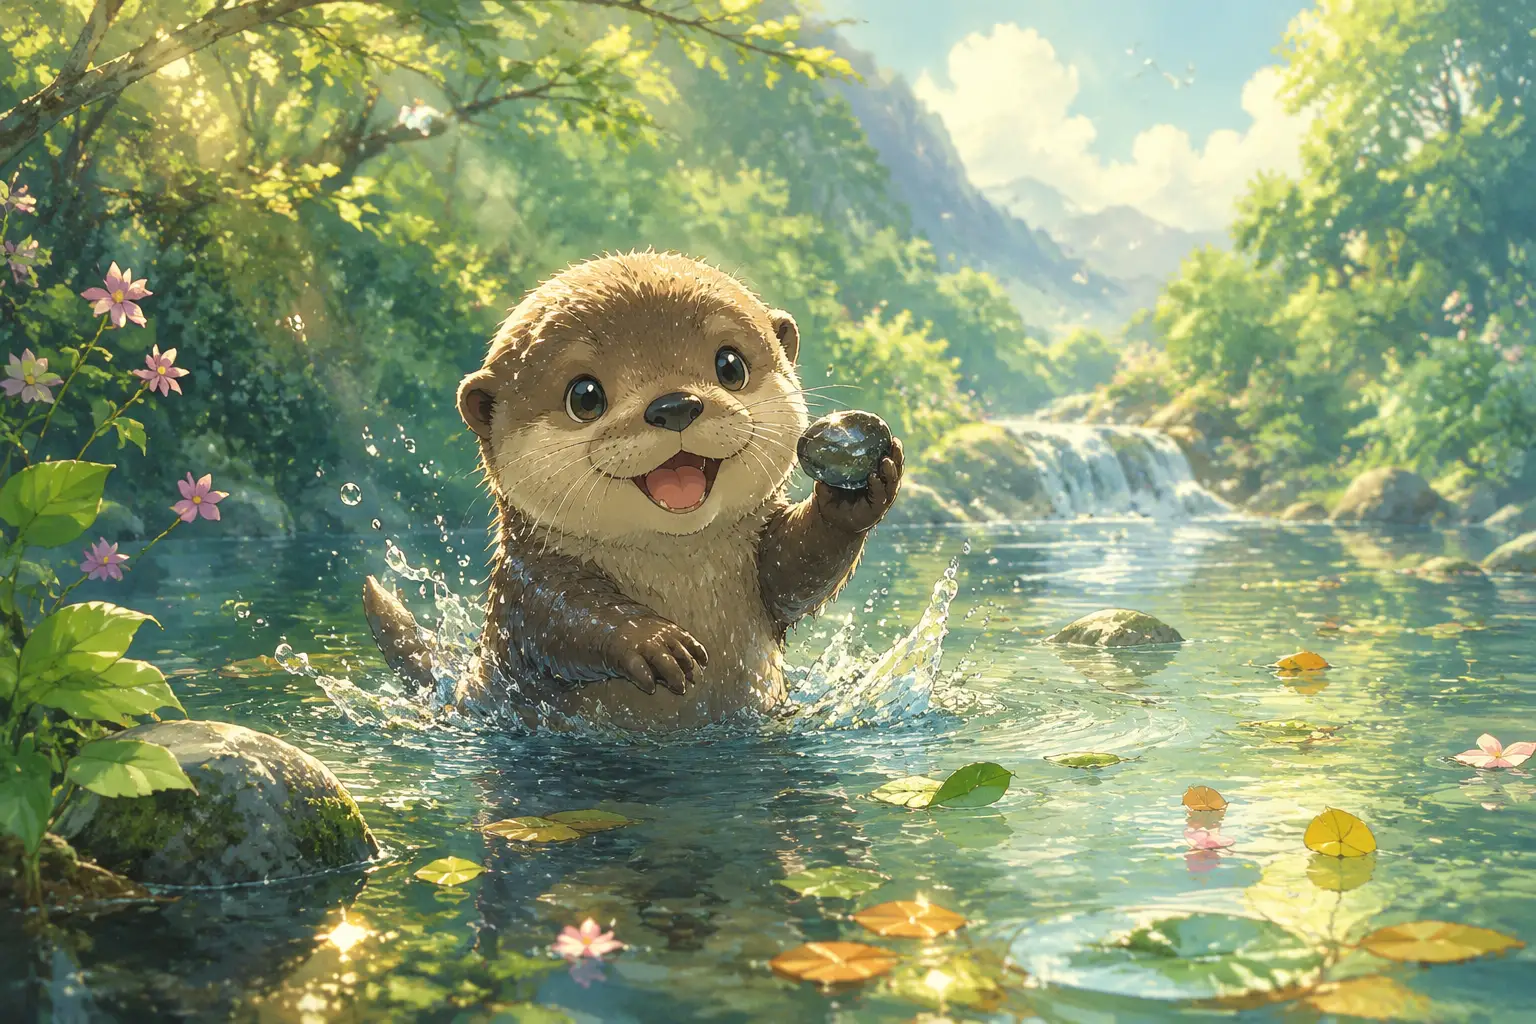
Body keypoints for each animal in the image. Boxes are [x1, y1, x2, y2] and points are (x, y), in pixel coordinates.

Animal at [361, 251, 903, 731]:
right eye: (585, 396)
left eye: (730, 365)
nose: (675, 404)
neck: (680, 576)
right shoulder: (524, 583)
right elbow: (563, 616)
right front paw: (651, 642)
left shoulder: (761, 560)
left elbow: (795, 569)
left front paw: (850, 500)